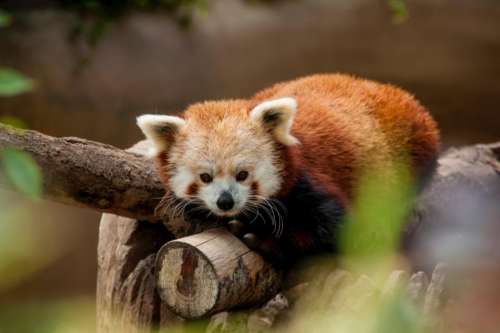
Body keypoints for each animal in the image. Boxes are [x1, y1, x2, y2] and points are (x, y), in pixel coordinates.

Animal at [139, 74, 440, 264]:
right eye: (205, 177)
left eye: (243, 174)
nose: (226, 202)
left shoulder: (309, 180)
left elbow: (340, 232)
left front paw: (266, 241)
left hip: (411, 142)